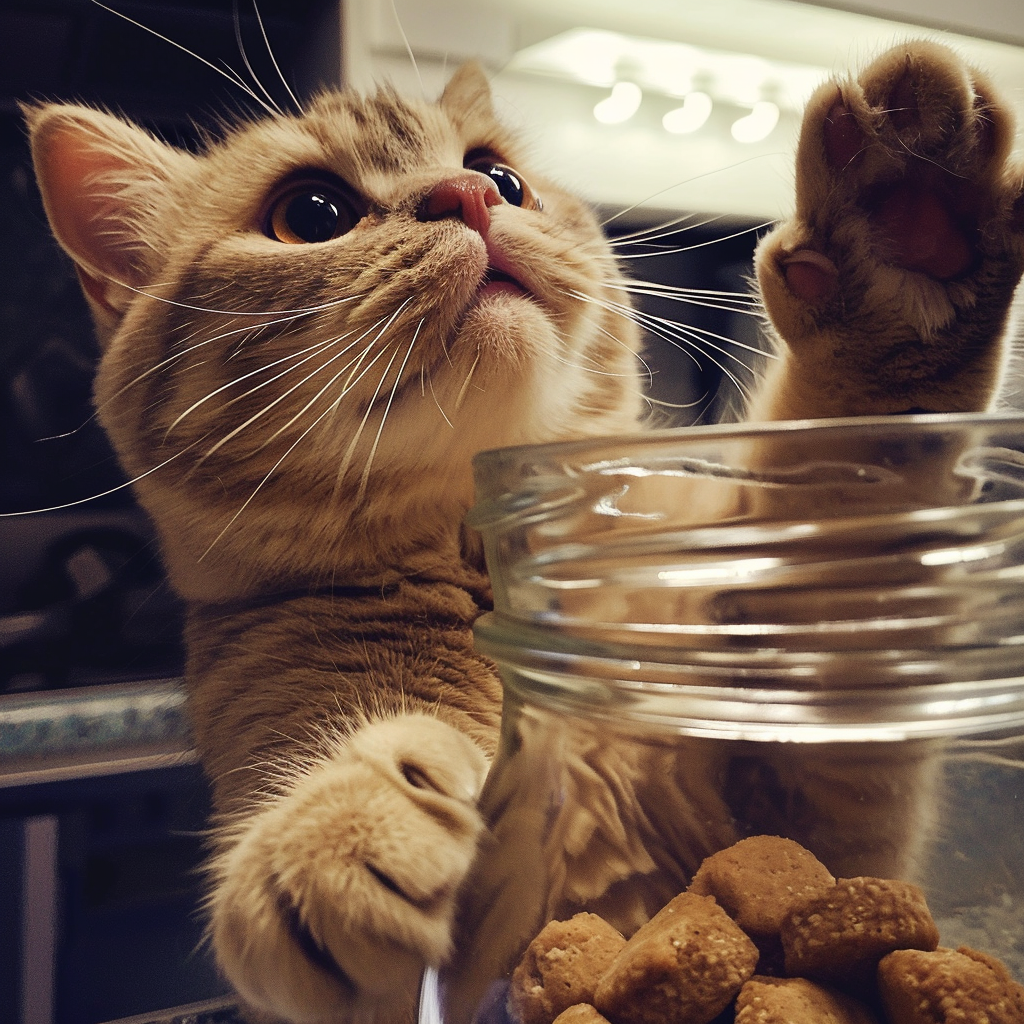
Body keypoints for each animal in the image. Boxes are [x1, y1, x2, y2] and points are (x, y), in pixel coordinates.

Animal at [22, 34, 1024, 1024]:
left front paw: (904, 229)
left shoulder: (820, 804)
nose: (466, 197)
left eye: (499, 176)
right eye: (312, 212)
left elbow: (849, 498)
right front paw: (346, 827)